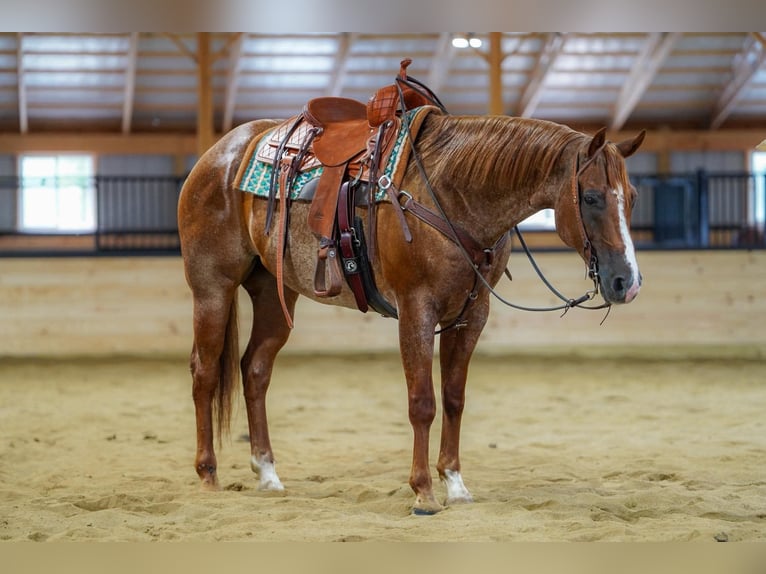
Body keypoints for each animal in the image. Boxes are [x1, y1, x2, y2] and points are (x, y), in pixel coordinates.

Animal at [178, 107, 645, 515]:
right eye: (591, 197)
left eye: (632, 197)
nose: (627, 281)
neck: (452, 194)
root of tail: (218, 155)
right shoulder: (416, 308)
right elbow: (422, 402)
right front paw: (423, 492)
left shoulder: (472, 314)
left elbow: (454, 398)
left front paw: (455, 484)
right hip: (212, 288)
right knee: (205, 371)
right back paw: (208, 474)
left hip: (275, 294)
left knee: (255, 369)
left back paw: (267, 472)